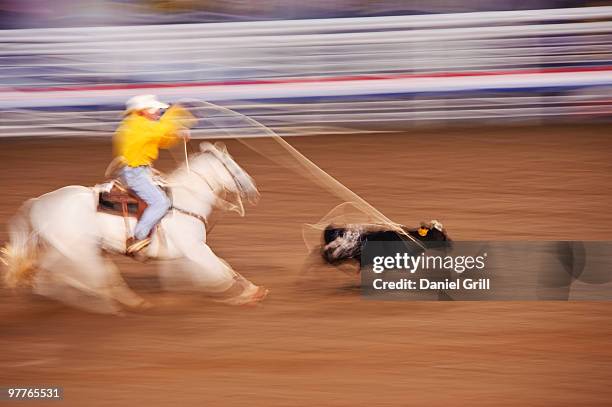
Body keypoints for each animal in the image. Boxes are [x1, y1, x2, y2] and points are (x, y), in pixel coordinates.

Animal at [1, 142, 268, 314]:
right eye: (232, 166)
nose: (254, 189)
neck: (186, 199)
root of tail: (39, 202)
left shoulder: (190, 252)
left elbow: (221, 268)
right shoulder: (195, 249)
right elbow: (223, 270)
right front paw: (246, 294)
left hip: (76, 249)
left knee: (65, 277)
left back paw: (129, 302)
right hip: (77, 250)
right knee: (78, 276)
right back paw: (104, 303)